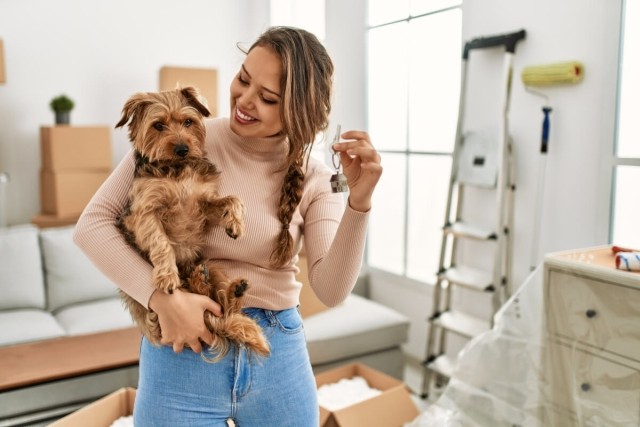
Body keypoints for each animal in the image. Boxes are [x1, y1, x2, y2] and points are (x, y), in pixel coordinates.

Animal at [115, 86, 270, 362]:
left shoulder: (204, 203)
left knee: (221, 304)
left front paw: (235, 224)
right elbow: (161, 242)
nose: (182, 148)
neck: (177, 170)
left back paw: (230, 288)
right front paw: (166, 275)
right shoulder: (144, 212)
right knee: (210, 308)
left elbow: (233, 199)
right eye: (158, 125)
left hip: (214, 266)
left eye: (188, 122)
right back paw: (198, 281)